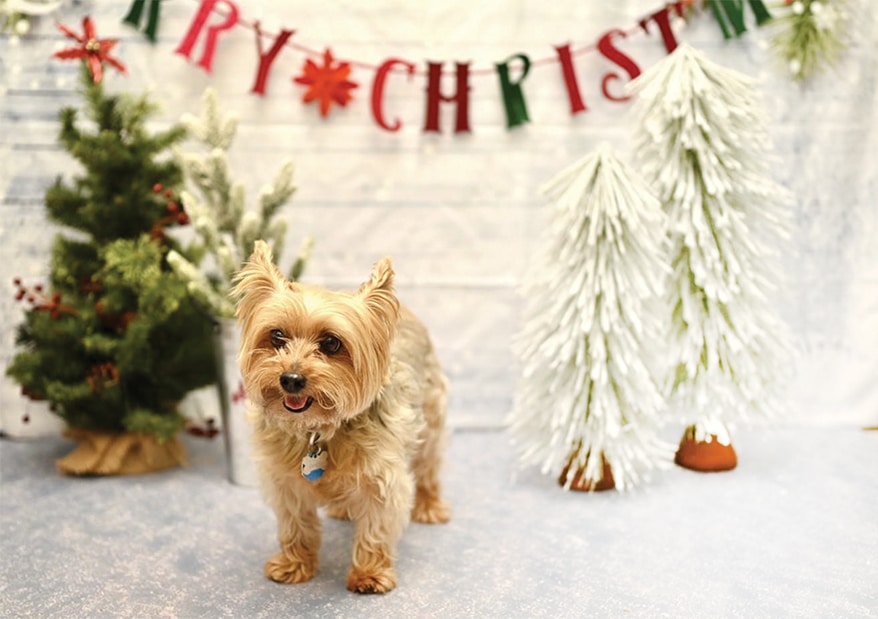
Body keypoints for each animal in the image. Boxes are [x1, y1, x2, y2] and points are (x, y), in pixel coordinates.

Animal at [232, 240, 450, 592]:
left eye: (332, 343)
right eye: (277, 337)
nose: (291, 379)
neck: (318, 429)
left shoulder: (382, 478)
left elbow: (376, 527)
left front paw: (369, 573)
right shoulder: (285, 482)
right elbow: (296, 525)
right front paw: (295, 563)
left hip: (431, 420)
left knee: (428, 466)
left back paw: (429, 506)